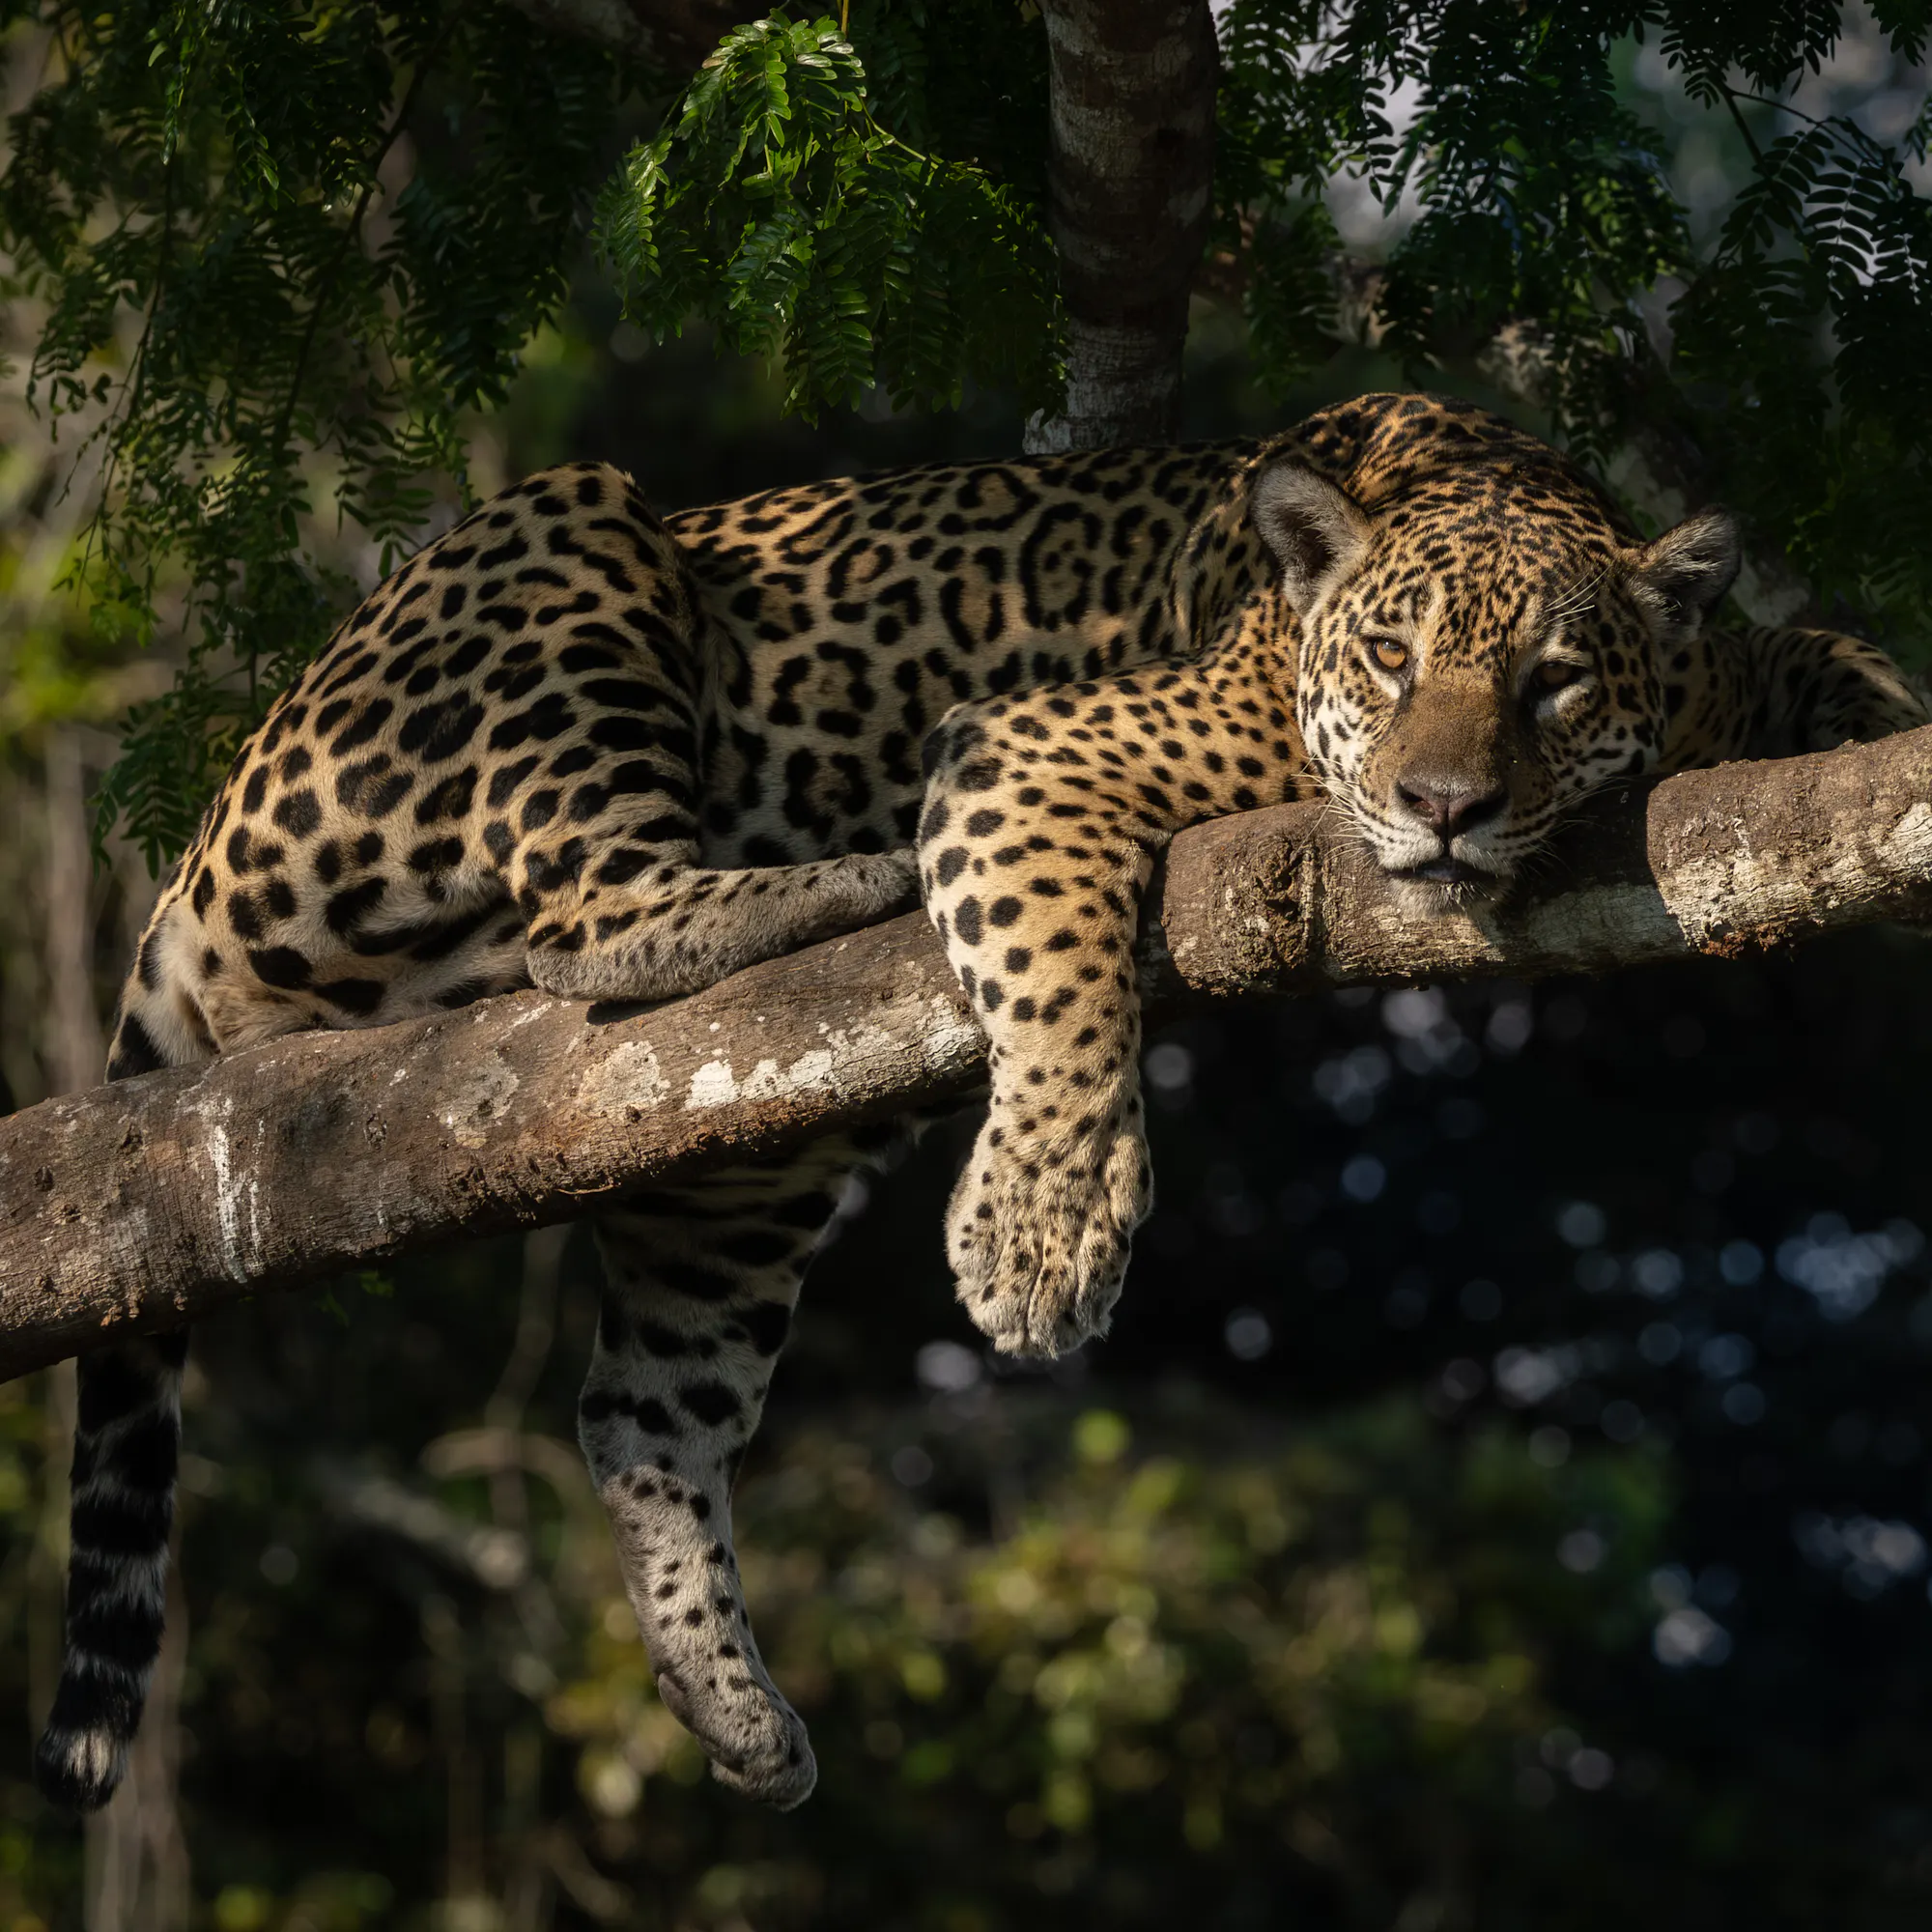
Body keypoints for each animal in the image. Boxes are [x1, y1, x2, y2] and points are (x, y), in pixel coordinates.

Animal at [36, 390, 1927, 1819]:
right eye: (1389, 660)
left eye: (1554, 681)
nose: (1445, 806)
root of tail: (198, 842)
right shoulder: (1040, 752)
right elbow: (1060, 975)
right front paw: (1043, 1224)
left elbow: (1834, 657)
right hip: (566, 545)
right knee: (592, 902)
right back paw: (822, 882)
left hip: (747, 1163)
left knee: (641, 1409)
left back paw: (735, 1710)